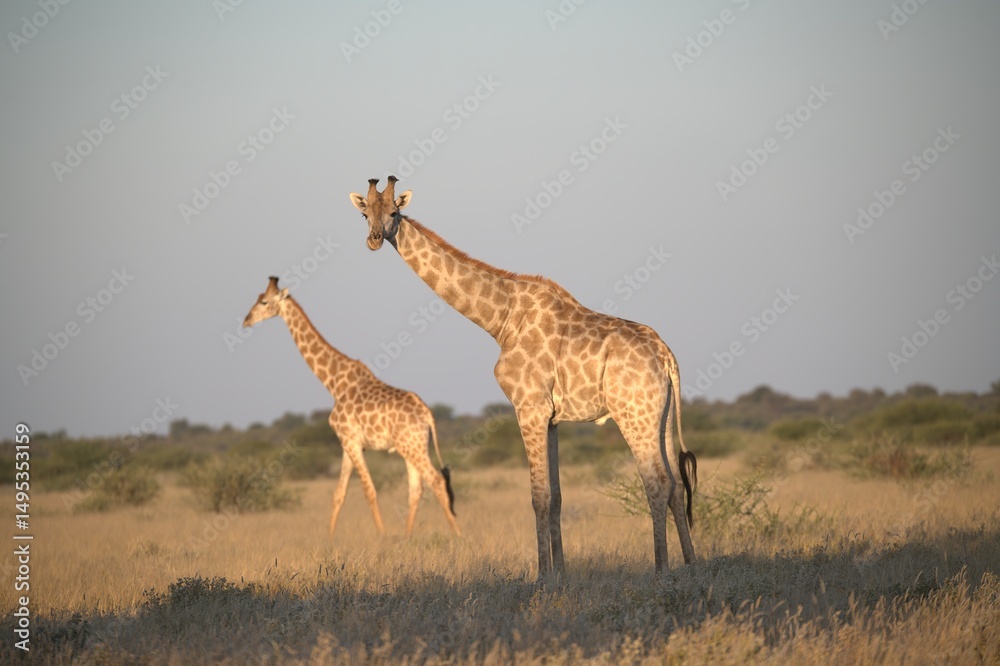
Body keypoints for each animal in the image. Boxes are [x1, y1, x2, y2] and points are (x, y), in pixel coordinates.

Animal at [242, 276, 460, 539]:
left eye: (264, 301)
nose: (246, 320)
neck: (334, 382)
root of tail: (428, 415)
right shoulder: (347, 444)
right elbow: (339, 494)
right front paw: (329, 540)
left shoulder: (351, 441)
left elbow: (369, 490)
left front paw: (382, 537)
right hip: (413, 446)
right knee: (416, 489)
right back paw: (408, 537)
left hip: (411, 446)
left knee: (436, 481)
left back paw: (457, 535)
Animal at [349, 177, 696, 577]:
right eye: (365, 214)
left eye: (394, 212)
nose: (374, 239)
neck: (501, 320)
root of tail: (667, 356)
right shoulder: (552, 418)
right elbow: (557, 496)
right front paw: (561, 573)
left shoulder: (528, 407)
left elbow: (538, 496)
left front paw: (542, 576)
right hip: (661, 415)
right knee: (676, 484)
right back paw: (691, 564)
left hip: (633, 414)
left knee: (657, 483)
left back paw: (661, 570)